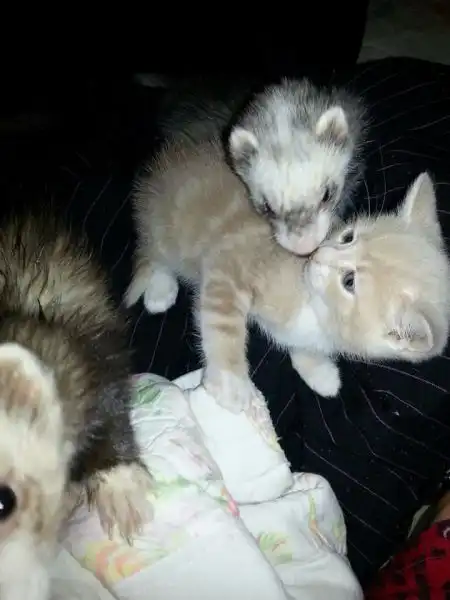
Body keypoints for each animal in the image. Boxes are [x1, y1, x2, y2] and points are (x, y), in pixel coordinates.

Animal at [125, 136, 450, 413]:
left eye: (349, 282)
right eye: (347, 237)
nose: (317, 254)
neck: (313, 306)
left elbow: (298, 344)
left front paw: (320, 372)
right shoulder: (229, 260)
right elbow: (223, 321)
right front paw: (231, 383)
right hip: (167, 232)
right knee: (155, 254)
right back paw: (160, 289)